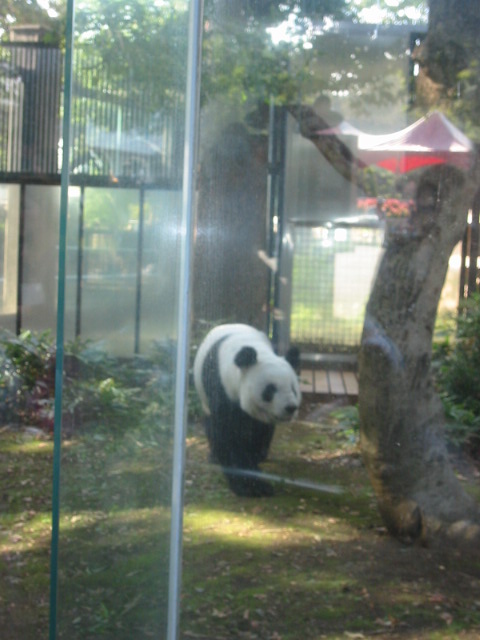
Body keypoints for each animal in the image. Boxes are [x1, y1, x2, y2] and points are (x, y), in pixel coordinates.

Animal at [192, 322, 300, 498]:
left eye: (293, 388)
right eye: (270, 390)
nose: (290, 407)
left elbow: (258, 431)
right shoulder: (218, 385)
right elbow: (226, 435)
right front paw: (249, 486)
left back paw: (261, 454)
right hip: (204, 399)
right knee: (210, 425)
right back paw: (214, 456)